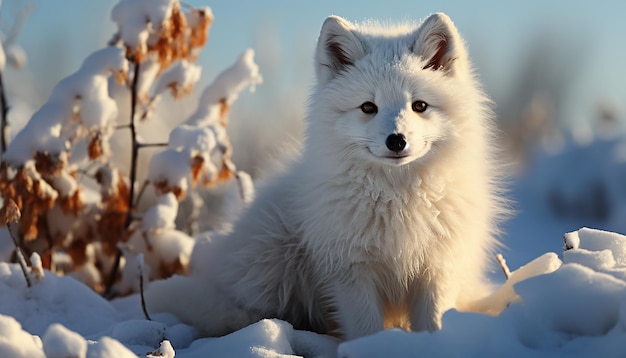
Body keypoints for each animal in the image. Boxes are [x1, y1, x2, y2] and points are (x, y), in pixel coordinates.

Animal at [147, 11, 508, 342]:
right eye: (368, 107)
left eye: (419, 105)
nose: (396, 140)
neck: (398, 197)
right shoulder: (350, 273)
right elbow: (365, 330)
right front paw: (370, 348)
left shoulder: (437, 269)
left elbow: (432, 324)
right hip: (275, 257)